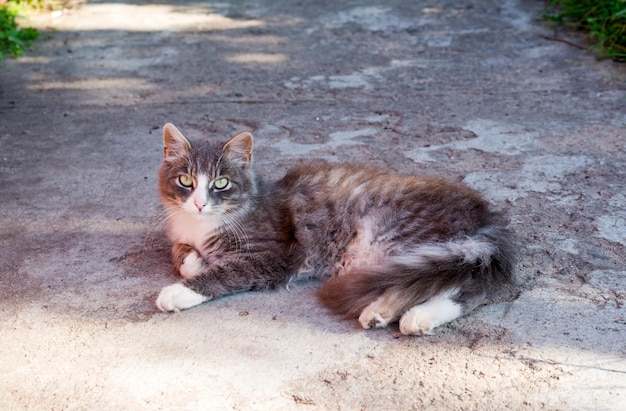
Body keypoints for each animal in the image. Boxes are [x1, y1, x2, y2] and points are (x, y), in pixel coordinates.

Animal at [155, 122, 512, 334]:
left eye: (221, 183)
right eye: (185, 181)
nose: (200, 204)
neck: (200, 224)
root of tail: (484, 214)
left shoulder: (270, 257)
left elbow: (220, 274)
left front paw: (179, 291)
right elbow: (182, 255)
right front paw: (194, 259)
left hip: (406, 240)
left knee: (457, 285)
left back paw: (408, 315)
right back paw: (391, 312)